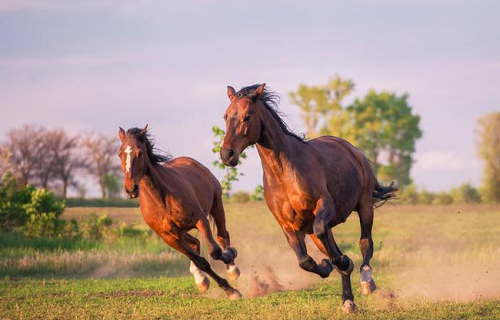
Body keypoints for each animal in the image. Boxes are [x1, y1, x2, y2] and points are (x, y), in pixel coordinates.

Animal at [117, 125, 242, 300]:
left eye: (139, 152)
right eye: (120, 153)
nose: (130, 189)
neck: (161, 199)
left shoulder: (200, 219)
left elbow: (214, 251)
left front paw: (231, 278)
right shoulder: (169, 237)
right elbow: (201, 261)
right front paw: (227, 289)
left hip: (216, 205)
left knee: (223, 236)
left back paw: (232, 269)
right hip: (181, 231)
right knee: (195, 243)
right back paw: (200, 278)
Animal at [219, 83, 394, 312]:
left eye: (247, 117)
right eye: (226, 116)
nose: (226, 155)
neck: (284, 172)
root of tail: (352, 149)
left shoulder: (324, 206)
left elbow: (332, 244)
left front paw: (343, 262)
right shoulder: (289, 225)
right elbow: (304, 260)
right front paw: (327, 265)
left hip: (364, 206)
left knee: (366, 243)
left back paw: (366, 280)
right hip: (317, 231)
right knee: (331, 246)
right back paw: (348, 300)